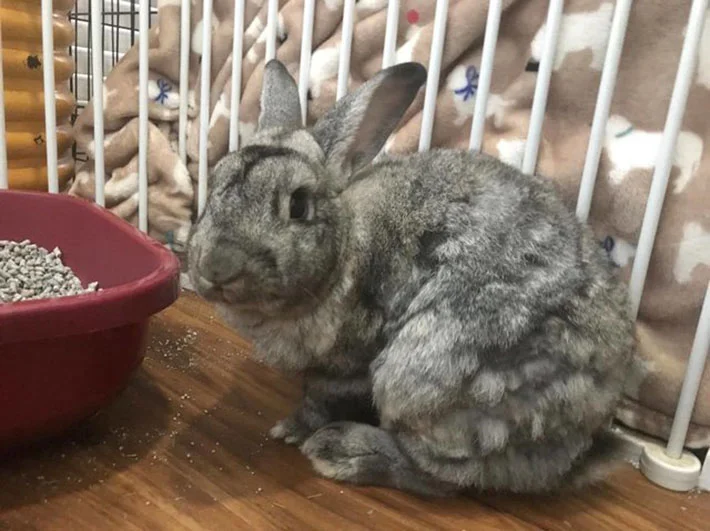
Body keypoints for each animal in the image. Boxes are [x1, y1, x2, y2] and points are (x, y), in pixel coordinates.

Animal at [187, 59, 637, 496]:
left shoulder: (346, 367)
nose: (215, 267)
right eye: (216, 184)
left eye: (298, 205)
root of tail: (582, 439)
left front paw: (292, 431)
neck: (346, 242)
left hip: (423, 379)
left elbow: (319, 401)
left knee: (449, 478)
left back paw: (343, 451)